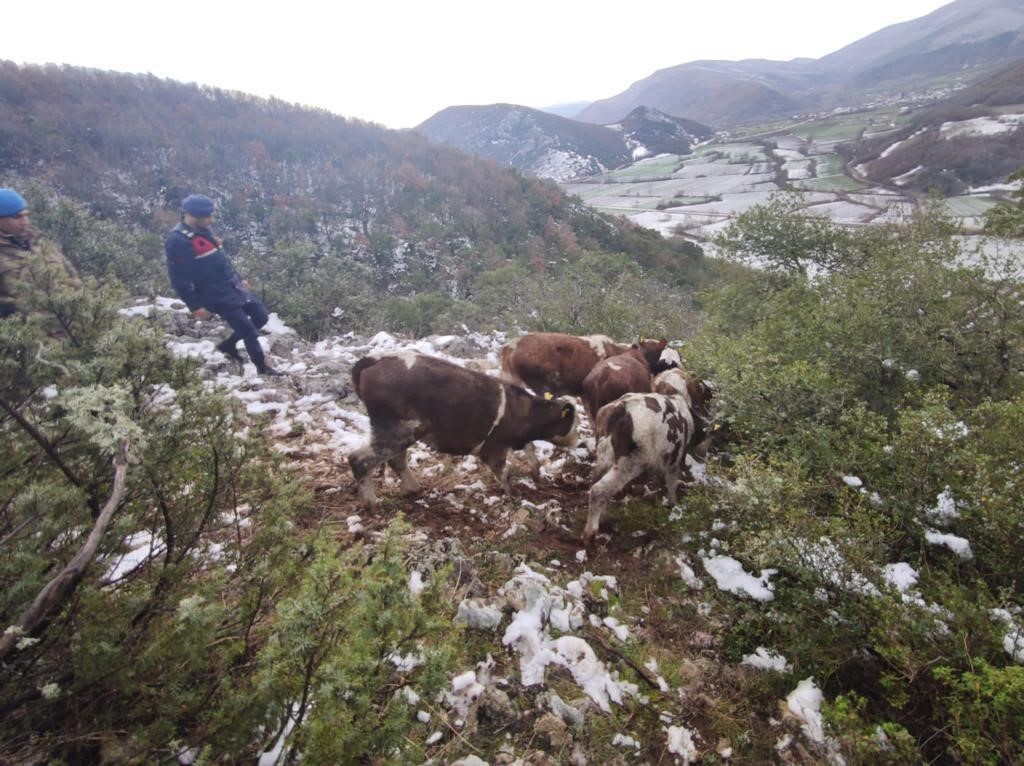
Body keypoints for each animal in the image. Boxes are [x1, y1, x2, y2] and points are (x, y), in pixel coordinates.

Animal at [350, 352, 577, 507]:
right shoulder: (494, 448)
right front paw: (514, 496)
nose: (578, 441)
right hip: (399, 430)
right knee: (359, 459)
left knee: (395, 460)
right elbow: (505, 473)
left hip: (402, 432)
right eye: (572, 421)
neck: (523, 410)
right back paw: (371, 503)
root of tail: (374, 360)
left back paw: (411, 489)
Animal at [581, 368, 716, 548]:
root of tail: (620, 409)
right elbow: (672, 484)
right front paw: (673, 505)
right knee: (599, 490)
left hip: (604, 458)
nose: (703, 458)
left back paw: (603, 519)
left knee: (596, 483)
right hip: (629, 464)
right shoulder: (674, 460)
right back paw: (590, 533)